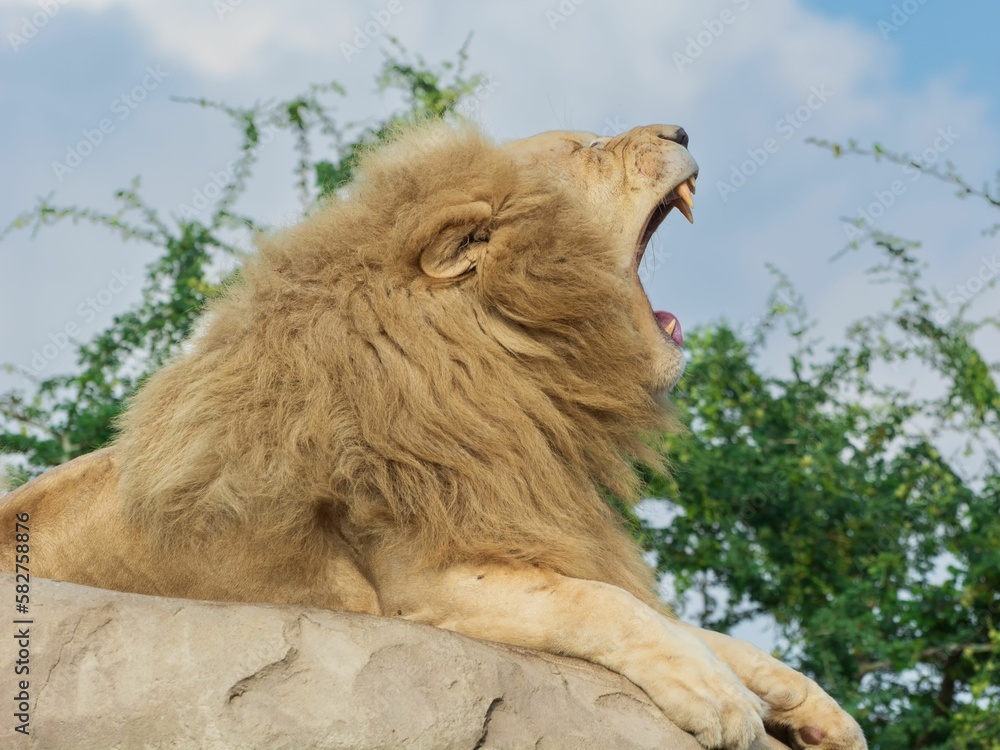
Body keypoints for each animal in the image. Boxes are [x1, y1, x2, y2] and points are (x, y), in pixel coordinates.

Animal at [0, 123, 864, 750]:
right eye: (587, 148)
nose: (681, 127)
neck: (515, 364)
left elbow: (697, 627)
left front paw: (815, 710)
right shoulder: (420, 580)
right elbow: (606, 606)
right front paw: (721, 699)